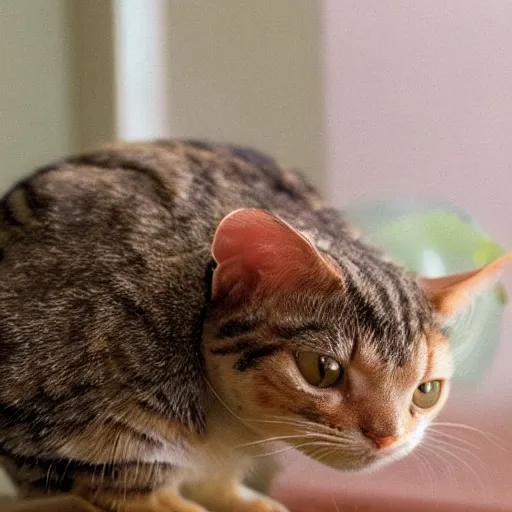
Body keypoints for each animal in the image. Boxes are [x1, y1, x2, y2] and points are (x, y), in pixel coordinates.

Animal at [0, 138, 508, 510]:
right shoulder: (74, 438)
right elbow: (129, 487)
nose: (389, 438)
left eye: (427, 391)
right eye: (322, 369)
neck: (222, 427)